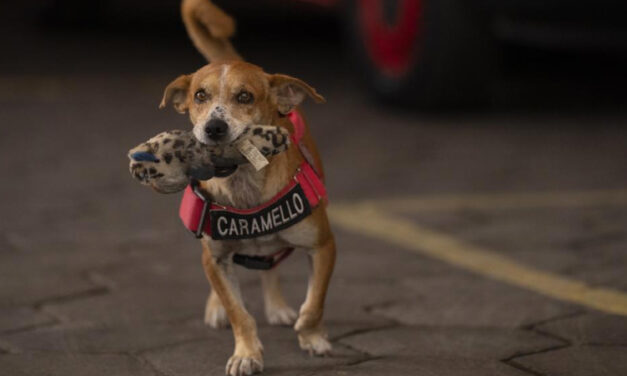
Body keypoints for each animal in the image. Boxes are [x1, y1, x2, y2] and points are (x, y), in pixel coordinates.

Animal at [161, 1, 338, 374]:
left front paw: (312, 336)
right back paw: (217, 307)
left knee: (270, 264)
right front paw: (246, 353)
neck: (243, 185)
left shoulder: (323, 247)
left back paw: (278, 307)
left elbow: (314, 302)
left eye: (245, 97)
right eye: (200, 96)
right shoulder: (215, 257)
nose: (213, 127)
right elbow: (238, 312)